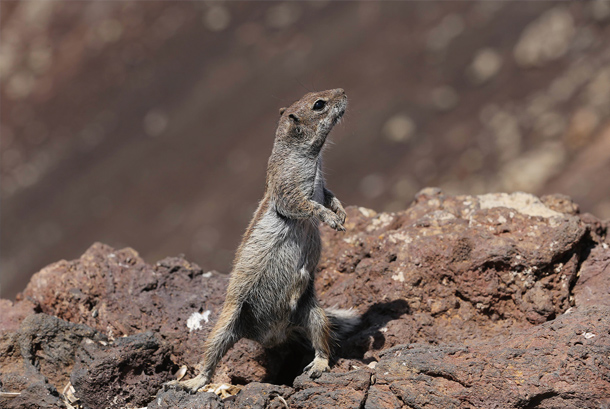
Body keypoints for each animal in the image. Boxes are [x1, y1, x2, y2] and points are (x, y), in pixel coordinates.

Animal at [164, 87, 358, 390]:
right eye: (319, 104)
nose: (343, 91)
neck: (306, 156)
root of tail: (272, 336)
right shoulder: (288, 188)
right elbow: (304, 205)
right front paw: (329, 217)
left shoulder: (322, 184)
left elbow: (329, 195)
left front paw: (341, 211)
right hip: (227, 323)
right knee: (210, 355)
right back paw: (191, 382)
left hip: (312, 311)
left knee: (321, 338)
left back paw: (319, 364)